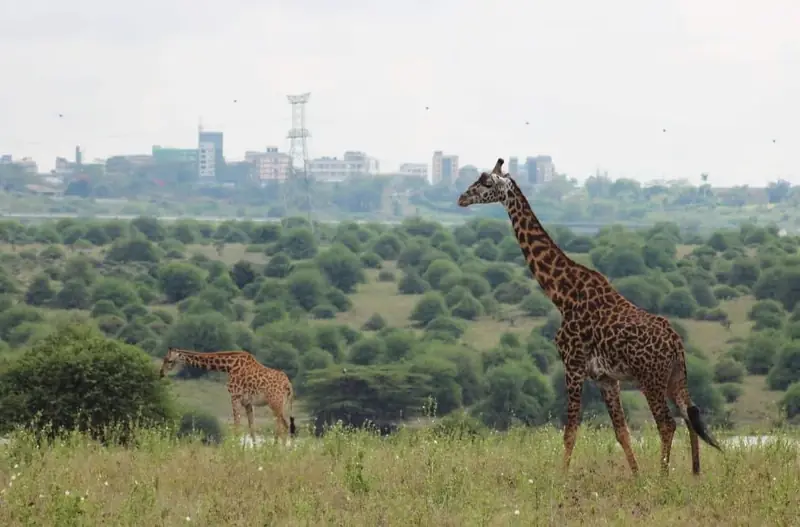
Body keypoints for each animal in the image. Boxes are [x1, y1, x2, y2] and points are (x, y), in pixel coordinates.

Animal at [160, 348, 297, 445]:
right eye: (164, 359)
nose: (161, 373)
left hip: (275, 403)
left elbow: (237, 426)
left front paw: (235, 450)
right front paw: (254, 451)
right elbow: (252, 428)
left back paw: (278, 450)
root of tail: (288, 385)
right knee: (285, 426)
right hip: (282, 404)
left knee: (283, 426)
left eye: (169, 360)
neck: (228, 366)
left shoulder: (234, 397)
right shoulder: (248, 403)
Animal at [457, 158, 722, 475]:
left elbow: (570, 430)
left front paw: (561, 476)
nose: (461, 198)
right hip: (675, 378)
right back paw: (694, 474)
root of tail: (676, 343)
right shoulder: (605, 378)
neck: (563, 294)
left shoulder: (572, 364)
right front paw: (636, 477)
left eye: (486, 182)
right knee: (691, 415)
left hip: (651, 380)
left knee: (668, 425)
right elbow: (621, 432)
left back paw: (663, 477)